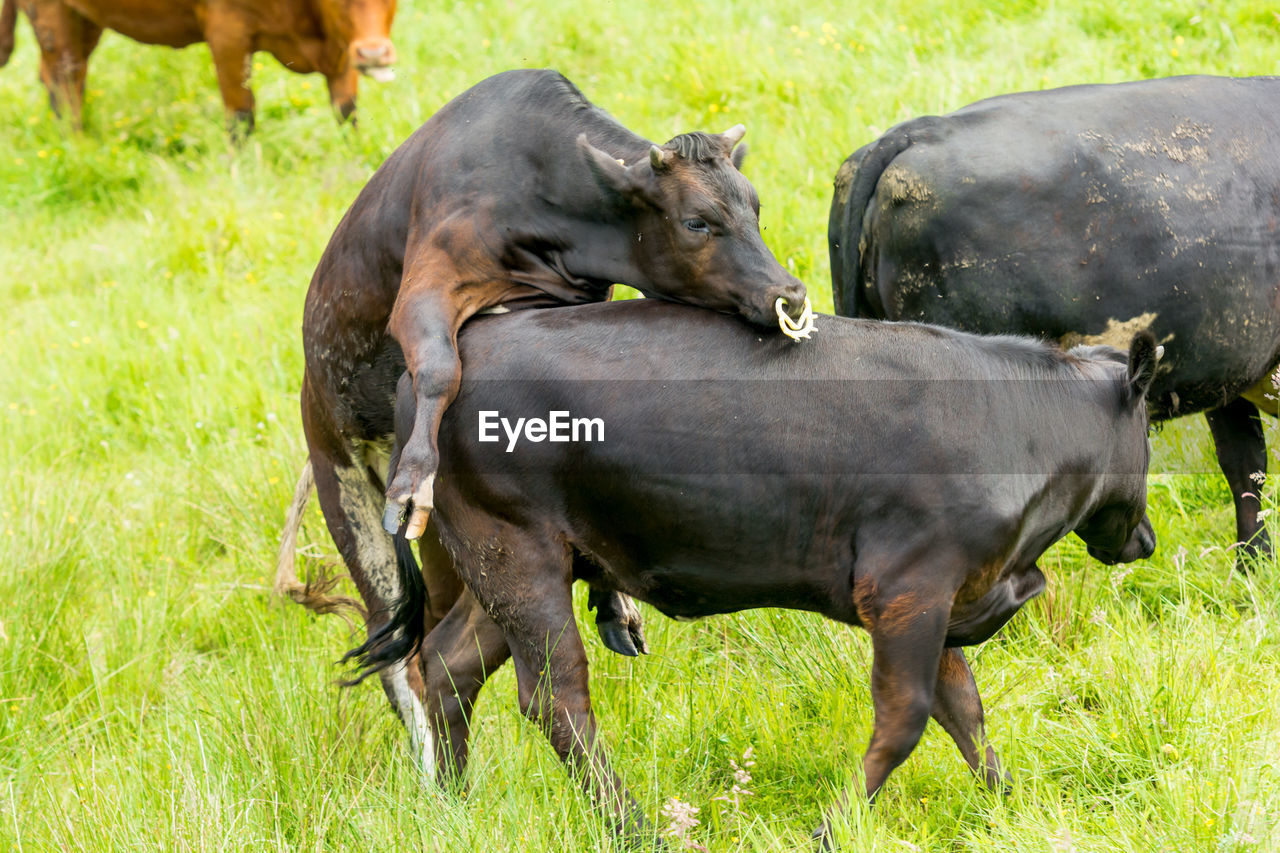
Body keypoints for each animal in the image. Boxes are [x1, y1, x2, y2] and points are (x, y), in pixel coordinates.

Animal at [0, 0, 394, 128]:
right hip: (52, 15)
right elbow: (241, 116)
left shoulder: (342, 52)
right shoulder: (227, 35)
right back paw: (76, 142)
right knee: (64, 78)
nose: (374, 53)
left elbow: (346, 111)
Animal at [275, 68, 803, 768]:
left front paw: (614, 599)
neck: (539, 188)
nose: (789, 294)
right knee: (397, 655)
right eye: (697, 222)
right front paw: (414, 477)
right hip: (349, 498)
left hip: (446, 551)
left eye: (755, 208)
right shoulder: (426, 285)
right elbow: (439, 366)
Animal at [353, 298, 1162, 845]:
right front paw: (833, 827)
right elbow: (906, 717)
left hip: (508, 559)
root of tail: (434, 365)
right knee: (556, 697)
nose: (1146, 538)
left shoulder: (948, 589)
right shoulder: (909, 586)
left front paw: (1007, 802)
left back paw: (453, 805)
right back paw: (637, 826)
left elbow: (964, 710)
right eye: (1150, 431)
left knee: (448, 664)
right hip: (517, 550)